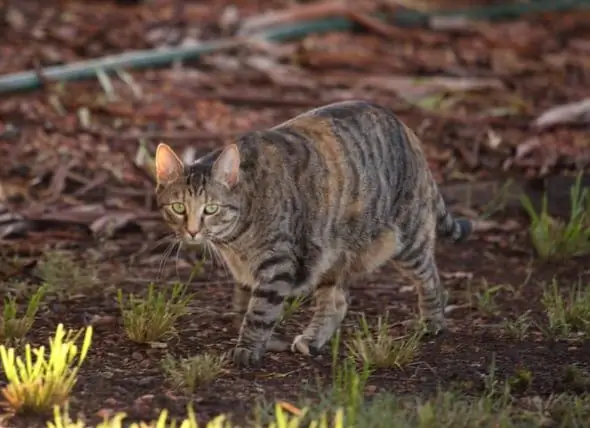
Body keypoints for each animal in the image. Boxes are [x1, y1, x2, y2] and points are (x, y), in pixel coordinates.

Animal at [155, 100, 474, 368]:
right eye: (178, 207)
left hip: (407, 239)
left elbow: (259, 312)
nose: (192, 231)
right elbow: (243, 306)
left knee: (431, 277)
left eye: (210, 209)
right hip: (328, 253)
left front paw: (248, 348)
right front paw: (263, 338)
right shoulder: (248, 271)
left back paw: (432, 321)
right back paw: (313, 339)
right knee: (337, 302)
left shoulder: (277, 264)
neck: (237, 240)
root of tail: (407, 130)